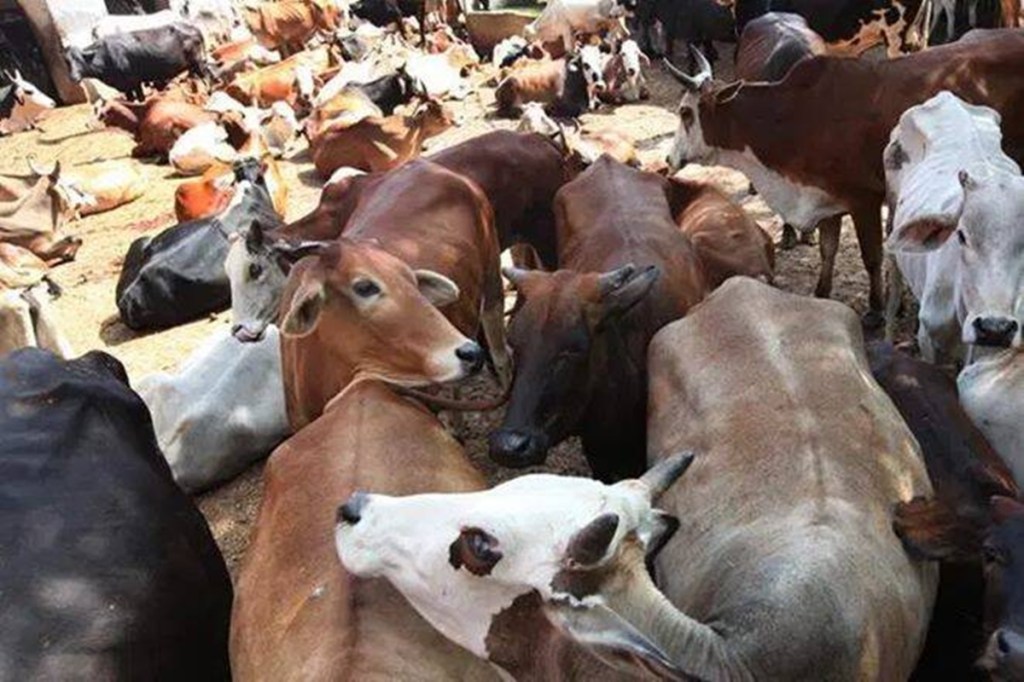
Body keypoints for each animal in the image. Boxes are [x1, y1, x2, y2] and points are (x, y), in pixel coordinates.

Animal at [65, 23, 207, 101]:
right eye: (67, 62)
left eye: (79, 59)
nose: (73, 77)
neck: (106, 57)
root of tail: (194, 28)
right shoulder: (126, 86)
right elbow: (130, 99)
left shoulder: (135, 81)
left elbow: (140, 98)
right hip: (193, 65)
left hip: (197, 62)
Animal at [666, 30, 1024, 327]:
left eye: (685, 112)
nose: (669, 159)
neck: (797, 116)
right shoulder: (826, 197)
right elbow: (828, 250)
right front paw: (821, 292)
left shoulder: (864, 199)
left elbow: (871, 256)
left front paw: (876, 309)